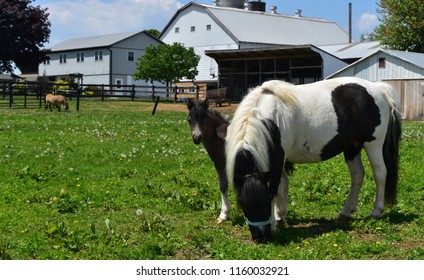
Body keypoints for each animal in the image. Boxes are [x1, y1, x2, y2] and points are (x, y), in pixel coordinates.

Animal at [225, 77, 400, 243]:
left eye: (264, 203)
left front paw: (275, 223)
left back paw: (376, 211)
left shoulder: (277, 160)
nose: (261, 237)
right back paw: (345, 212)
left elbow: (275, 189)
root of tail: (379, 88)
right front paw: (280, 215)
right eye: (242, 204)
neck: (267, 117)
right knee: (358, 175)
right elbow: (283, 185)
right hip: (352, 147)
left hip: (373, 144)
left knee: (380, 173)